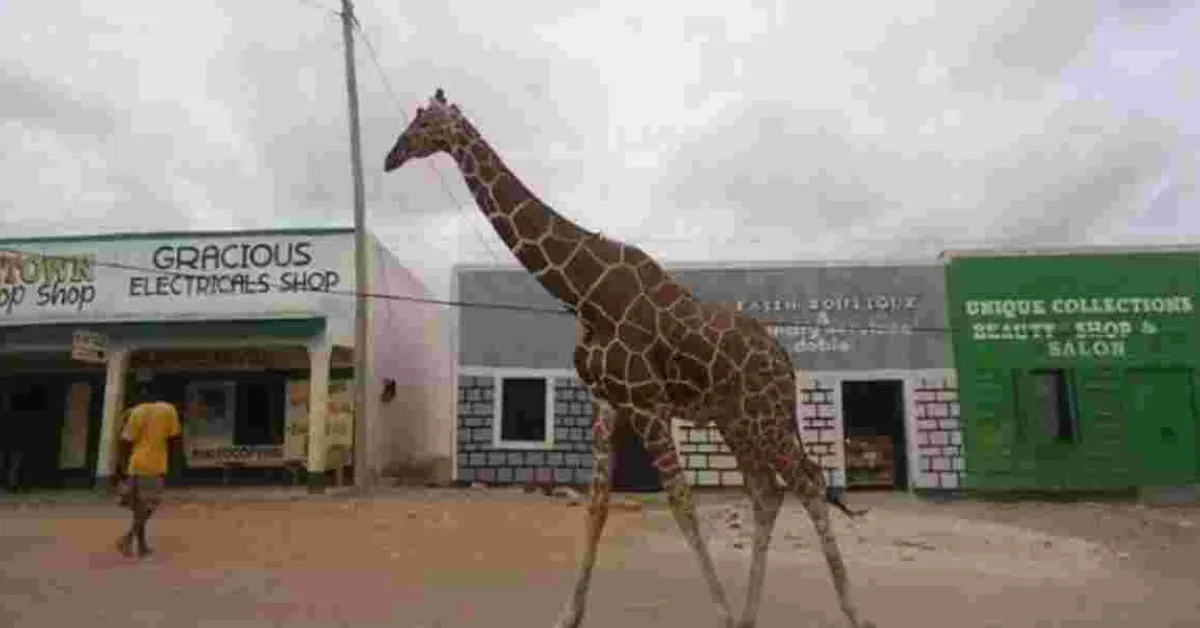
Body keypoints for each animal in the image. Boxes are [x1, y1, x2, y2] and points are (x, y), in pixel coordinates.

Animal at [383, 88, 876, 628]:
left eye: (424, 122)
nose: (391, 157)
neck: (584, 293)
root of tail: (786, 361)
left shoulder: (645, 402)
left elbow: (681, 501)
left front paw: (720, 613)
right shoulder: (608, 403)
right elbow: (597, 506)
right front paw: (568, 616)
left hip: (763, 415)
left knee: (808, 482)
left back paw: (853, 613)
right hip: (736, 421)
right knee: (767, 492)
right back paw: (751, 615)